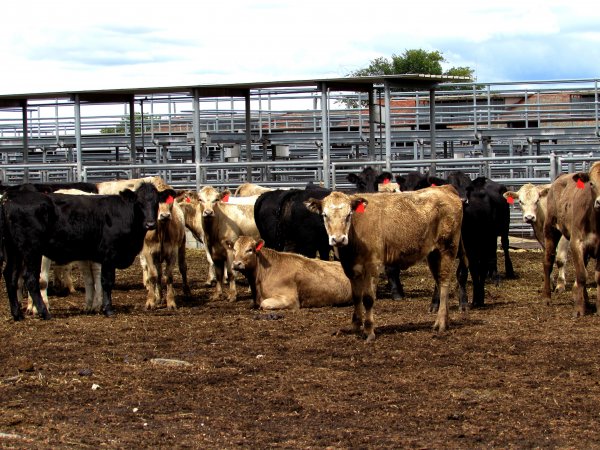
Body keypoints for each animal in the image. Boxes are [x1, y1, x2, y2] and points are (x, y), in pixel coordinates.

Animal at [0, 183, 175, 320]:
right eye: (139, 202)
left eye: (156, 202)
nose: (150, 224)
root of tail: (10, 199)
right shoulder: (109, 254)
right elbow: (107, 282)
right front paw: (108, 309)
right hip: (31, 250)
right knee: (30, 279)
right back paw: (44, 312)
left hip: (14, 250)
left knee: (10, 276)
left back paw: (17, 314)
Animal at [304, 185, 464, 340]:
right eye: (325, 215)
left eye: (349, 214)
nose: (338, 239)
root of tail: (445, 188)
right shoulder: (350, 268)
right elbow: (356, 297)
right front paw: (355, 327)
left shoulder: (372, 265)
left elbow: (368, 298)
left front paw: (369, 331)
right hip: (433, 254)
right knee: (439, 281)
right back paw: (444, 321)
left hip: (447, 248)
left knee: (444, 282)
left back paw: (441, 323)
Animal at [540, 163, 600, 316]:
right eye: (591, 183)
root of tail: (561, 176)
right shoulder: (576, 243)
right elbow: (581, 275)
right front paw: (579, 309)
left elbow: (598, 277)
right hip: (550, 230)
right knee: (548, 262)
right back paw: (547, 298)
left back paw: (586, 301)